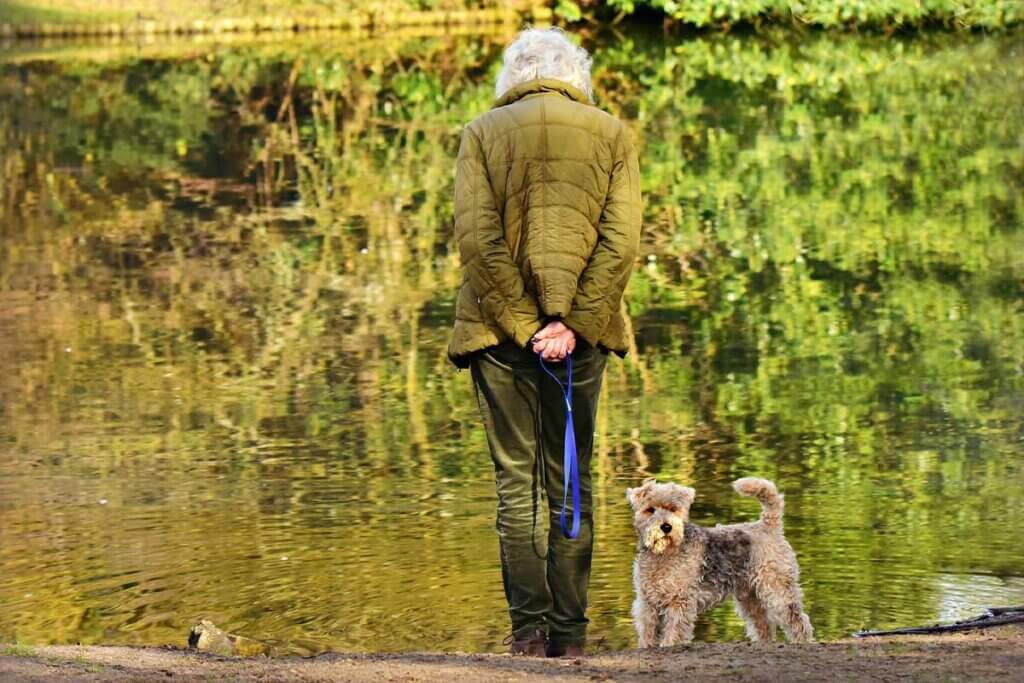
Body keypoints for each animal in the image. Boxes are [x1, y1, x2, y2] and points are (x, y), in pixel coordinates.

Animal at [626, 479, 811, 651]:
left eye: (673, 509)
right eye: (650, 509)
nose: (666, 527)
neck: (663, 555)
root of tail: (768, 524)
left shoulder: (679, 600)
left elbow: (674, 629)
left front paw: (669, 645)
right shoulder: (647, 601)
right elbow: (647, 629)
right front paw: (646, 646)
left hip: (777, 589)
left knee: (798, 620)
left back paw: (803, 642)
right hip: (750, 597)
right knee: (764, 625)